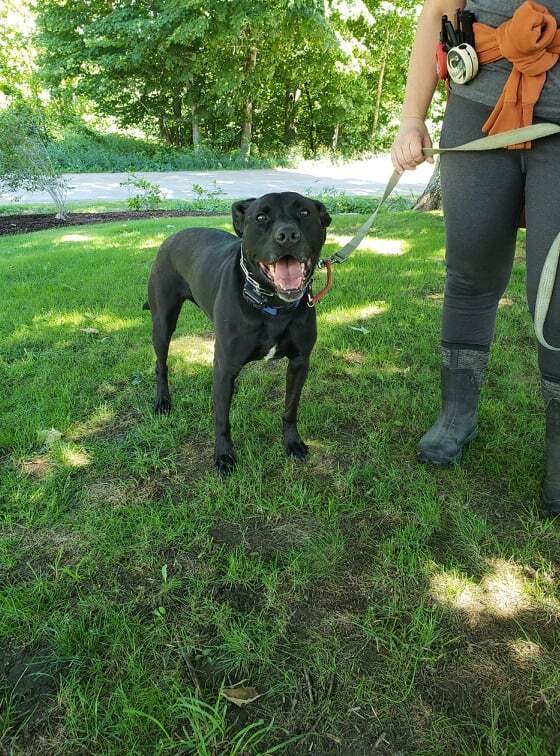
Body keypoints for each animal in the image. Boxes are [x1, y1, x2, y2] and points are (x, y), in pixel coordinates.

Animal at [143, 192, 332, 476]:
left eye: (305, 213)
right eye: (261, 217)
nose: (287, 235)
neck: (273, 306)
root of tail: (172, 236)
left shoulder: (300, 362)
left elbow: (291, 407)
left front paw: (292, 442)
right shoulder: (225, 364)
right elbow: (222, 417)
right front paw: (223, 455)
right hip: (163, 323)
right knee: (160, 363)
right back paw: (163, 401)